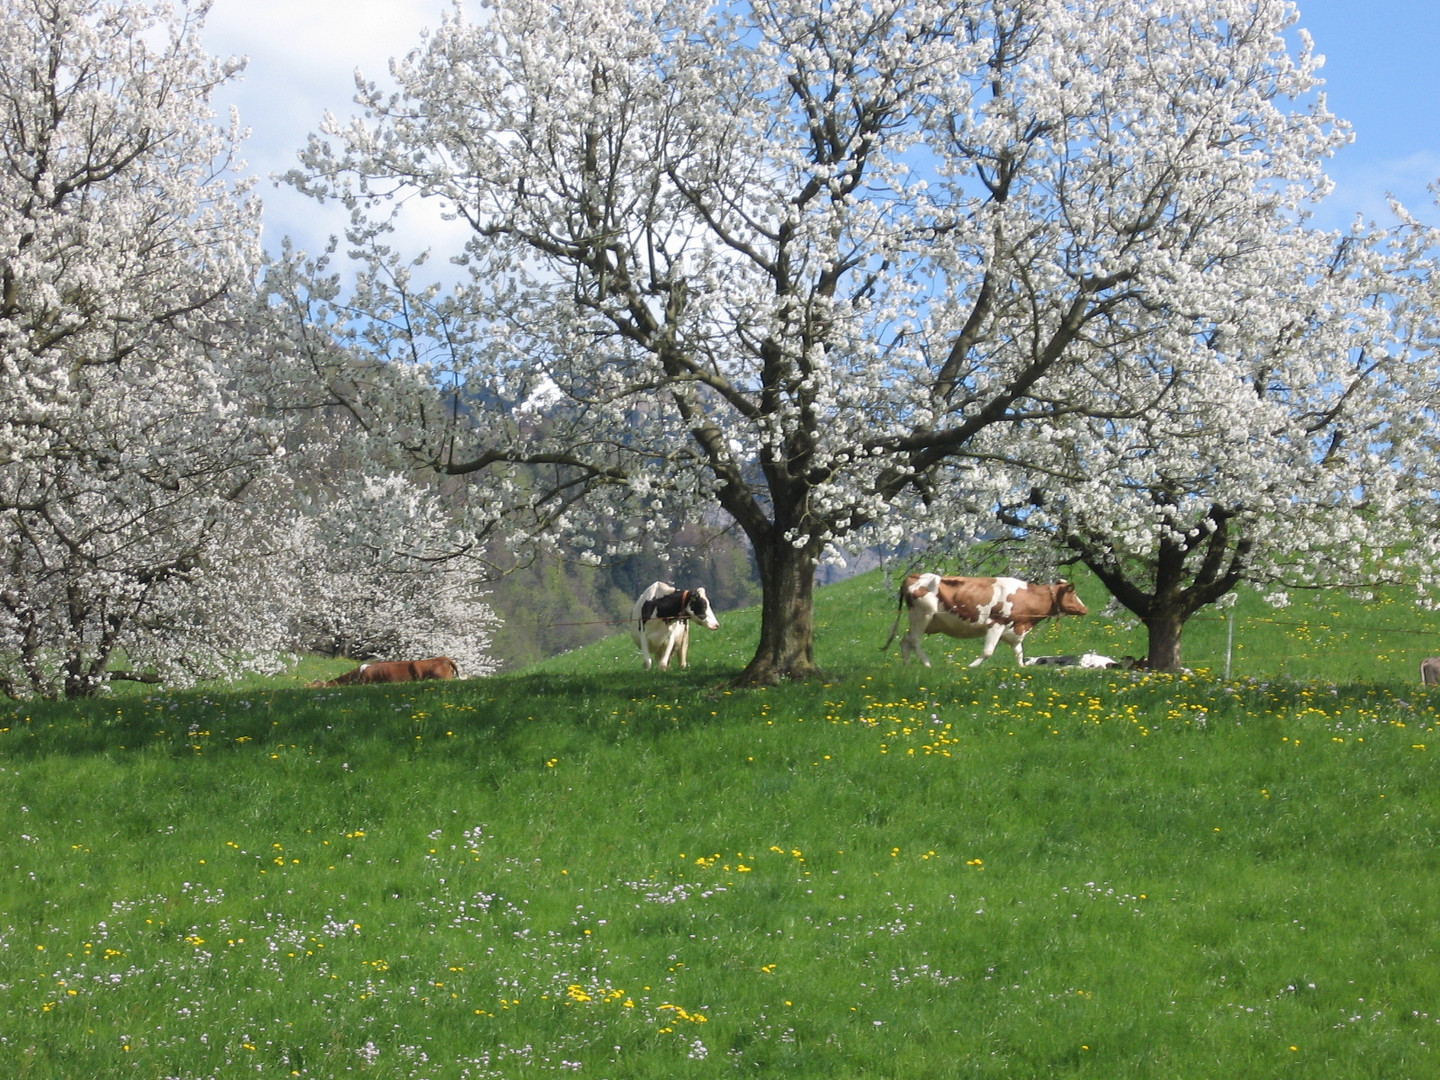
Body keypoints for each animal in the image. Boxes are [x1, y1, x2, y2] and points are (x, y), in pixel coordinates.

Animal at [881, 576, 1082, 668]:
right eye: (1073, 593)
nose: (1085, 608)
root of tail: (915, 576)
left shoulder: (1015, 630)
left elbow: (1019, 652)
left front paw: (1021, 669)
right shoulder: (996, 623)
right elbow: (987, 652)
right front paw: (970, 667)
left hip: (925, 620)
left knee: (905, 641)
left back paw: (908, 666)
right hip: (923, 615)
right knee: (914, 641)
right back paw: (927, 664)